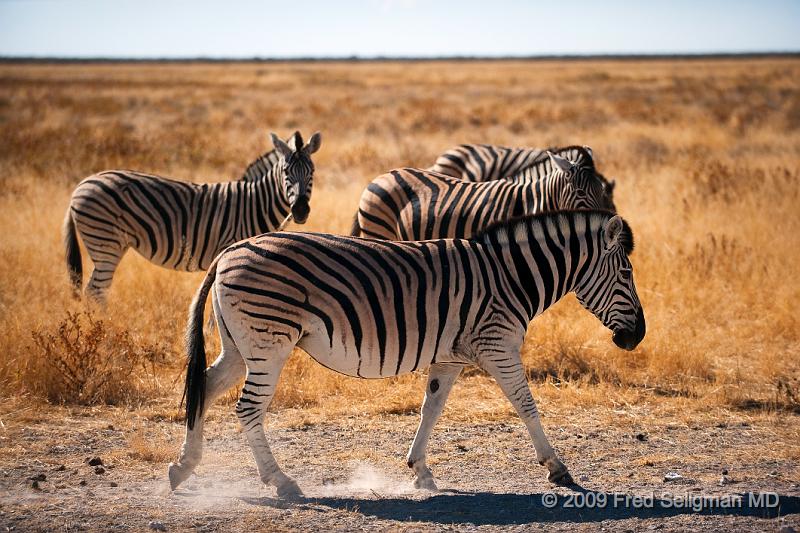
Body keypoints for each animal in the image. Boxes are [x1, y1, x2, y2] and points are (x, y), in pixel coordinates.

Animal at [61, 130, 322, 302]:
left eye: (312, 172)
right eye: (286, 172)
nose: (300, 210)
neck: (255, 203)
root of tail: (81, 185)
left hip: (110, 244)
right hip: (106, 244)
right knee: (95, 292)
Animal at [167, 207, 644, 494]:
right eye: (626, 273)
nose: (636, 337)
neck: (511, 277)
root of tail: (228, 251)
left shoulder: (449, 357)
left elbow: (430, 410)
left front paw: (420, 470)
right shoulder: (498, 343)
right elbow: (526, 404)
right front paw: (557, 467)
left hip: (239, 345)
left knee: (206, 387)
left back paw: (183, 467)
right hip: (269, 342)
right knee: (247, 408)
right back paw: (280, 481)